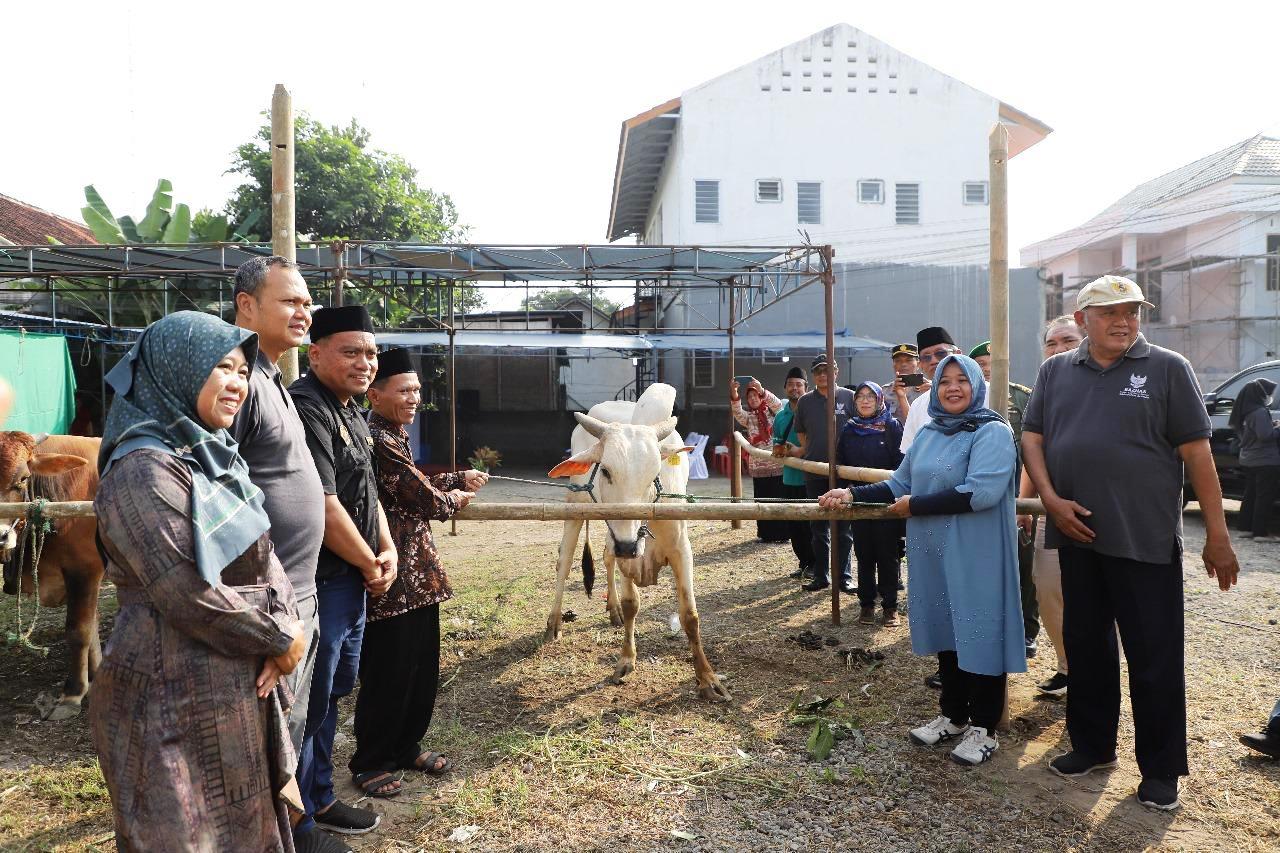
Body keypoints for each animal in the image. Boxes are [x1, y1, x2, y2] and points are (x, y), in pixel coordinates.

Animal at [0, 432, 104, 717]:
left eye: (23, 478)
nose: (0, 536)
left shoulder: (85, 569)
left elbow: (79, 631)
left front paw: (73, 693)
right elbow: (92, 627)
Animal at [545, 384, 737, 696]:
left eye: (654, 475)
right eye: (606, 470)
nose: (628, 544)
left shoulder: (680, 550)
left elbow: (690, 615)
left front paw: (708, 678)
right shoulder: (627, 553)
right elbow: (631, 604)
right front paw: (626, 660)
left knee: (605, 556)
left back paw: (611, 610)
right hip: (576, 508)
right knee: (565, 559)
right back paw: (554, 622)